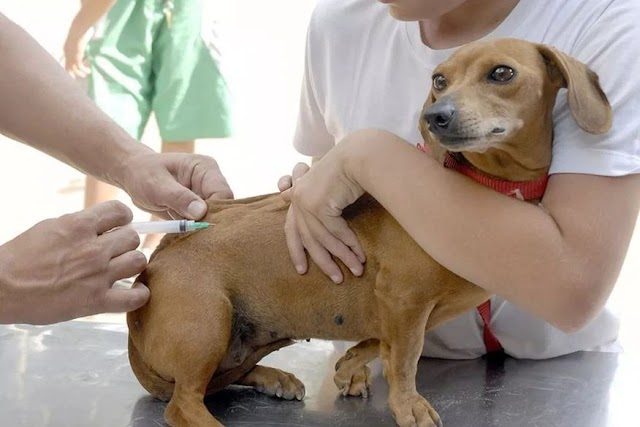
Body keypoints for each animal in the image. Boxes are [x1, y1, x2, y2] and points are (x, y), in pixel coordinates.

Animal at [125, 38, 608, 426]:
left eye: (502, 73)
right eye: (439, 80)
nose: (436, 116)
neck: (481, 184)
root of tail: (159, 256)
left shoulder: (406, 310)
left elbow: (383, 344)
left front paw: (351, 364)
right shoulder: (404, 301)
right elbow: (405, 360)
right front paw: (408, 405)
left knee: (223, 379)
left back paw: (273, 377)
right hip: (209, 324)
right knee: (185, 403)